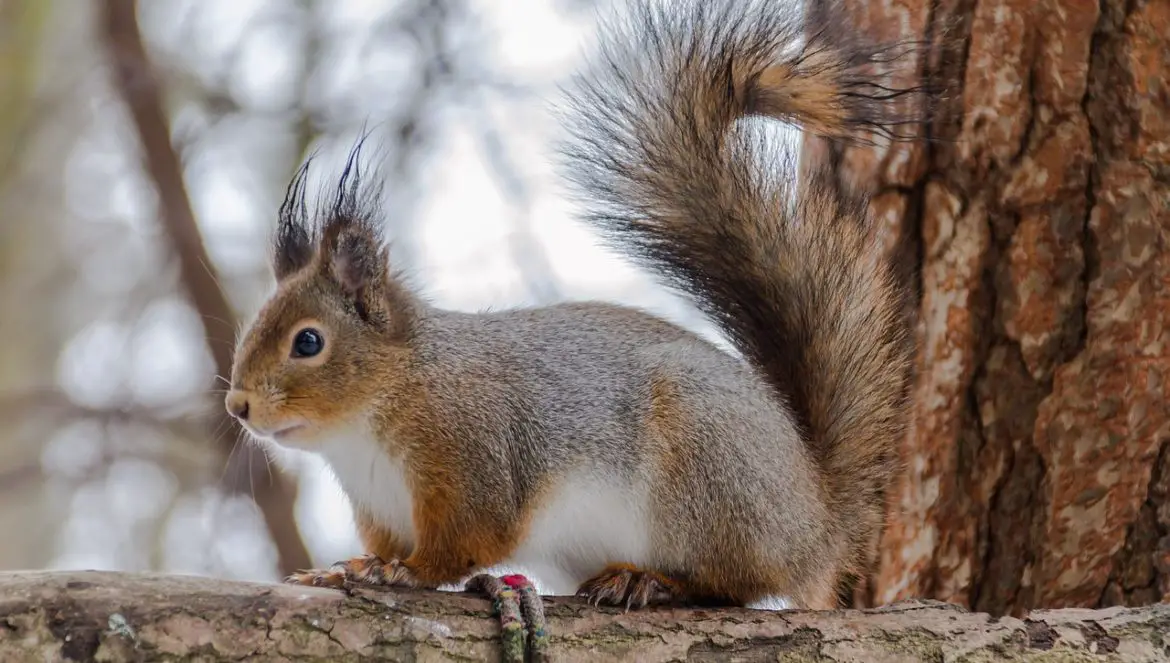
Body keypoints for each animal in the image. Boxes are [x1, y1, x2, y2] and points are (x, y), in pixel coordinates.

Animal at [228, 0, 917, 612]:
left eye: (309, 341)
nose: (238, 405)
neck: (383, 403)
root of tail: (817, 522)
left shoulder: (475, 457)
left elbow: (467, 543)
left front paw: (408, 573)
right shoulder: (381, 505)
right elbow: (384, 546)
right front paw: (353, 567)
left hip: (709, 475)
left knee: (736, 581)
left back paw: (649, 581)